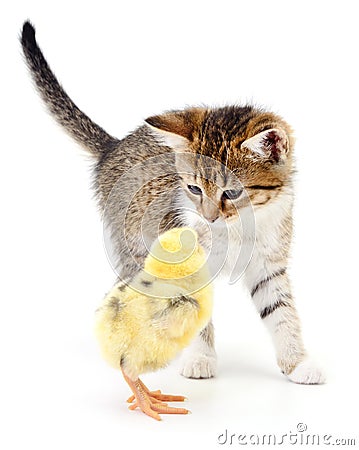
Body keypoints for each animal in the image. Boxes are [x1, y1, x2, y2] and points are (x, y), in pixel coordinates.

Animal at [21, 22, 328, 384]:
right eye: (194, 189)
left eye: (232, 193)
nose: (209, 217)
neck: (236, 230)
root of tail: (114, 146)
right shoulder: (183, 263)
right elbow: (194, 312)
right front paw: (200, 358)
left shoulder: (269, 264)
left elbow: (282, 312)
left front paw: (297, 362)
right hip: (134, 247)